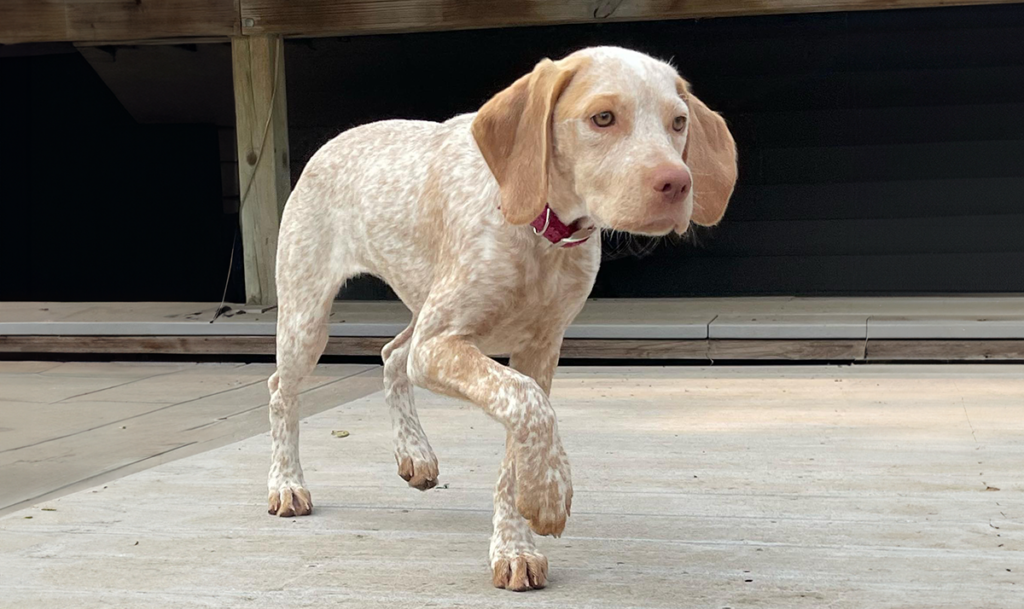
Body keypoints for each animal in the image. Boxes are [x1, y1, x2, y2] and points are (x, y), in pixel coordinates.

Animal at [266, 46, 737, 589]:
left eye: (678, 123)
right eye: (602, 118)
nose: (678, 183)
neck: (539, 233)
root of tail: (332, 143)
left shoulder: (538, 348)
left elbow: (523, 433)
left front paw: (518, 539)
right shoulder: (444, 346)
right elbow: (531, 405)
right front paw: (551, 494)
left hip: (420, 311)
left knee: (392, 354)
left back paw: (414, 452)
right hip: (308, 316)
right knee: (282, 390)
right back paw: (286, 484)